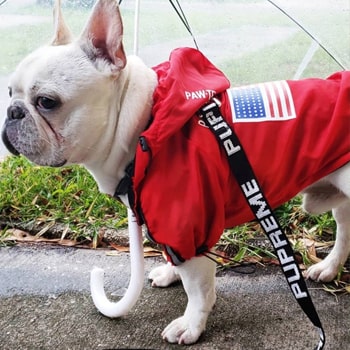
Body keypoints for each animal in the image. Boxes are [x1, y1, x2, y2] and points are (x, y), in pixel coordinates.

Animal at [1, 0, 348, 344]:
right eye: (8, 92)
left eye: (47, 102)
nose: (12, 112)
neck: (145, 125)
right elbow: (172, 257)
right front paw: (170, 273)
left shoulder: (188, 227)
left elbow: (198, 289)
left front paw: (192, 324)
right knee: (344, 232)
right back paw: (329, 268)